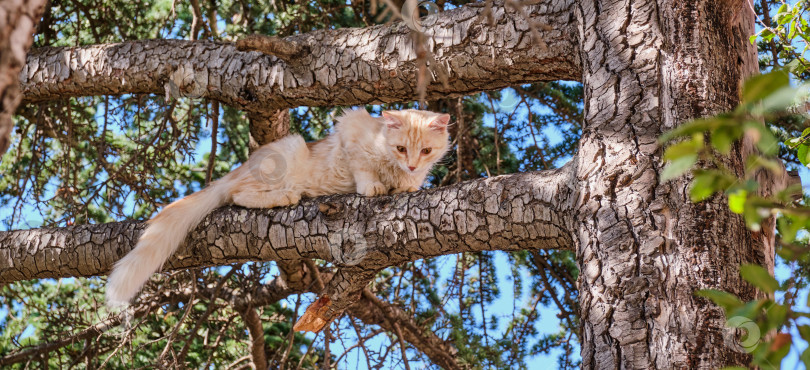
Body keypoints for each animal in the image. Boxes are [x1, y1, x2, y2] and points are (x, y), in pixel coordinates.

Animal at [104, 108, 452, 308]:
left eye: (425, 151)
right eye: (401, 148)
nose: (411, 165)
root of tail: (239, 168)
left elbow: (410, 183)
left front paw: (409, 184)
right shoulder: (351, 127)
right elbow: (363, 168)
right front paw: (374, 186)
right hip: (288, 151)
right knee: (238, 194)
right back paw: (287, 196)